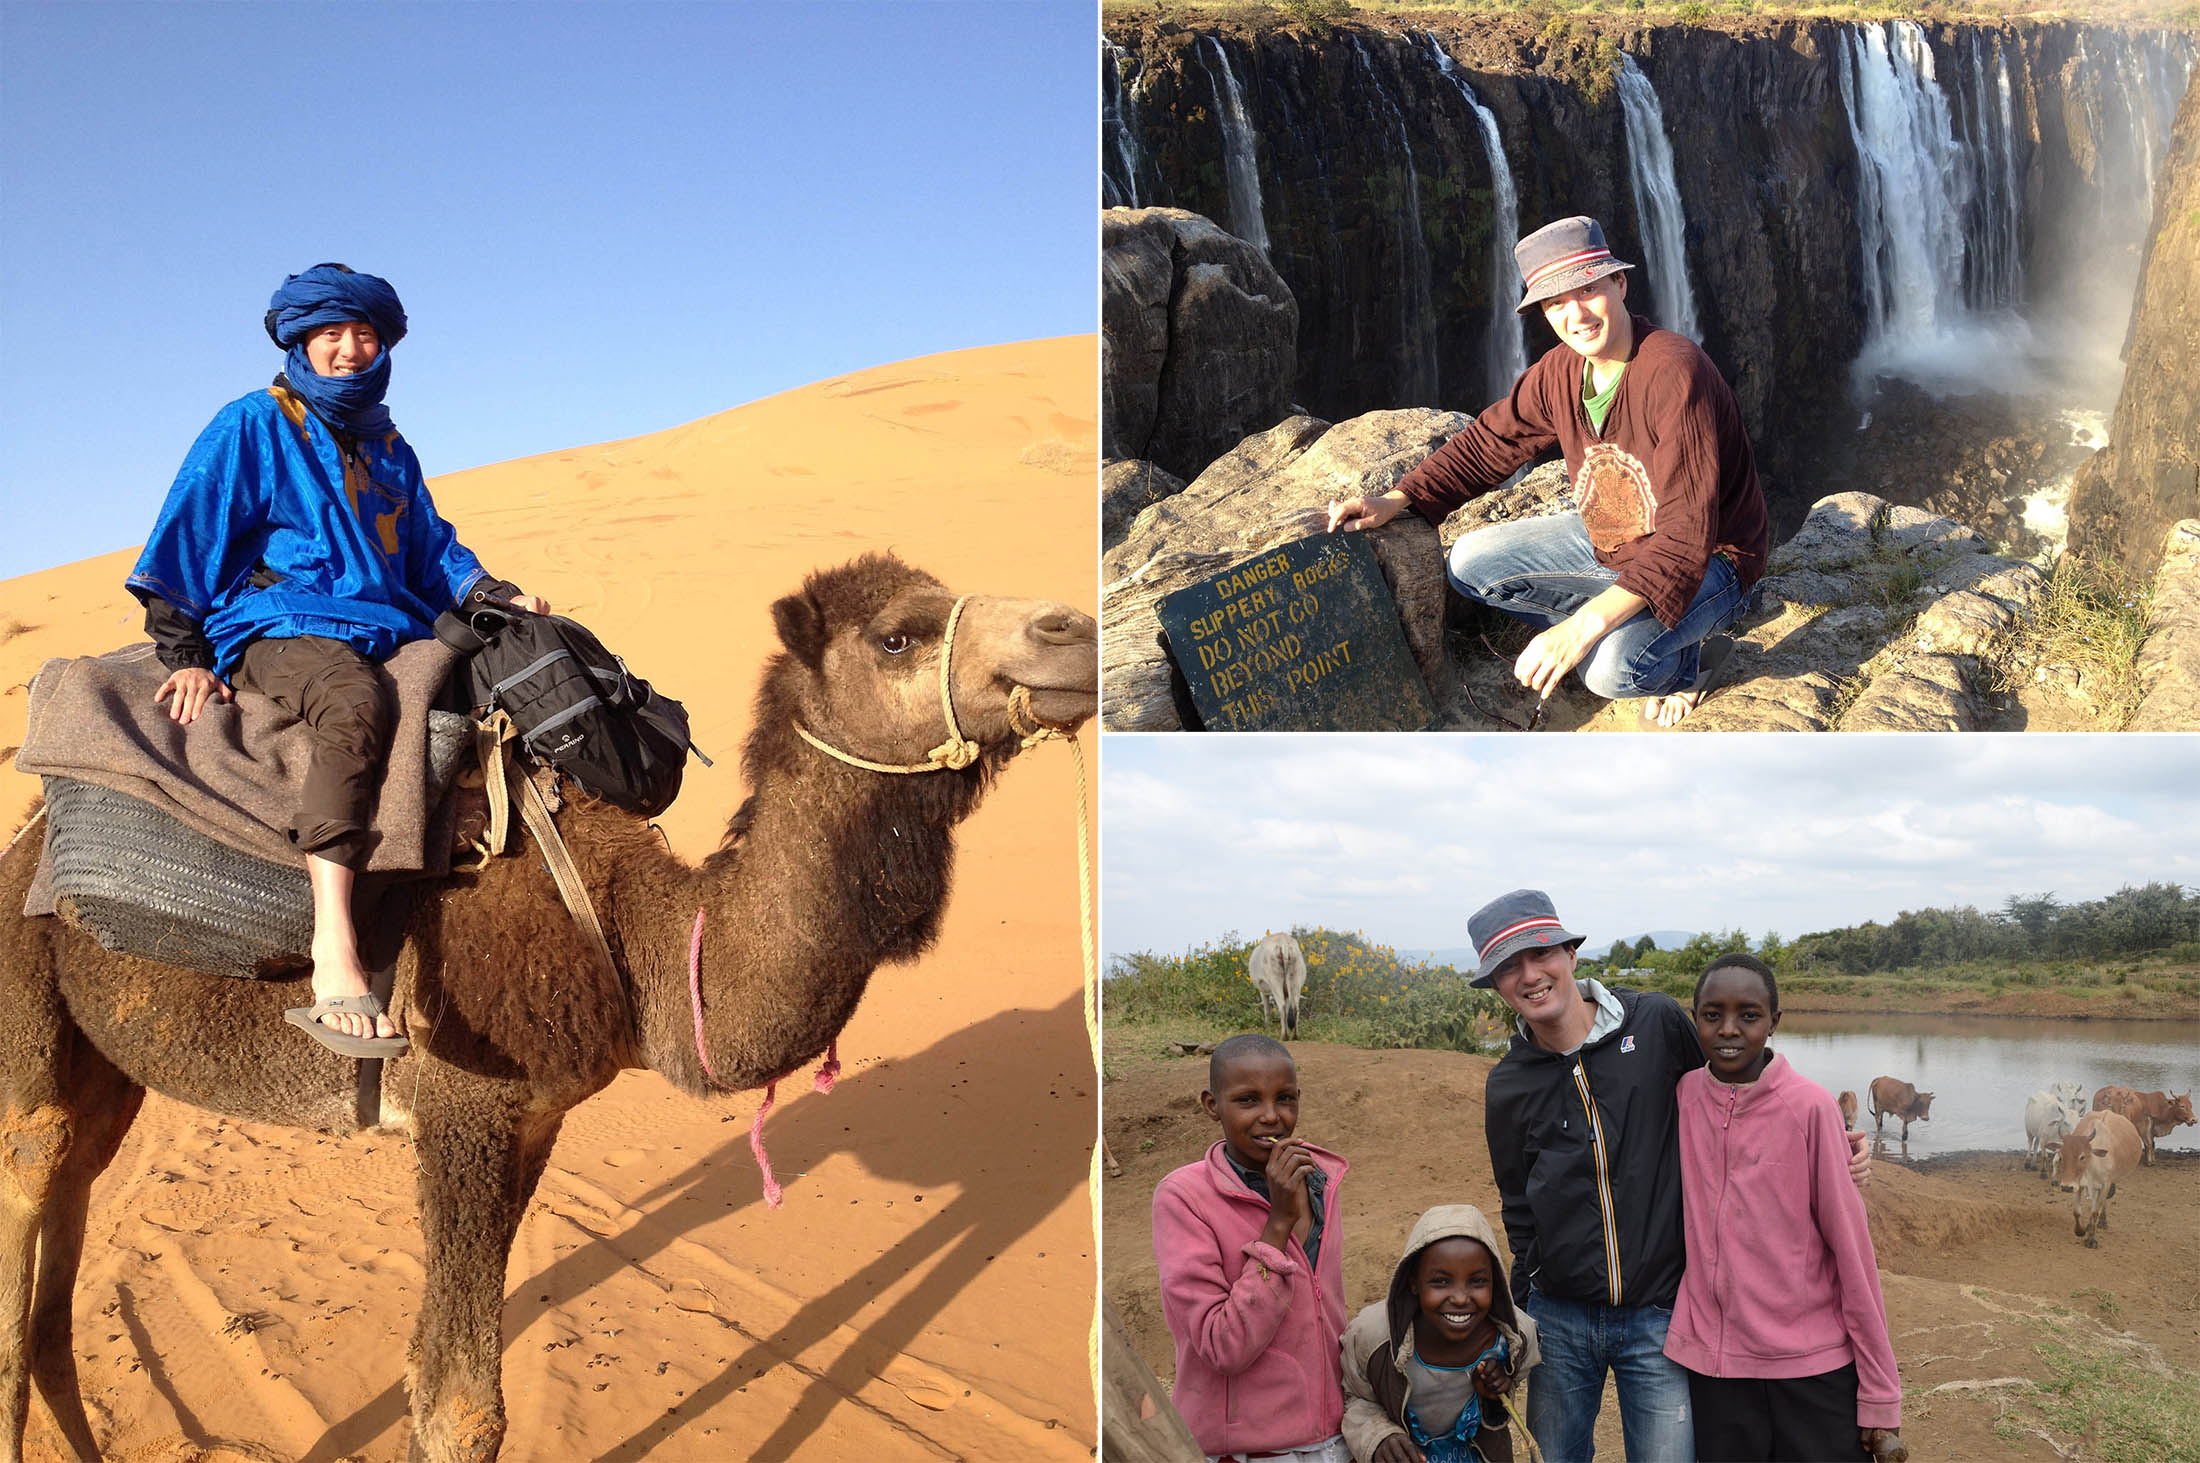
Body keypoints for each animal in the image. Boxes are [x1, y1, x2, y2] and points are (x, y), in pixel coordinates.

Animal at [0, 556, 1100, 1460]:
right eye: (898, 636)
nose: (1072, 629)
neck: (634, 931)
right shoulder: (463, 1107)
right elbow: (460, 1405)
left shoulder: (533, 1121)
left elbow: (429, 1374)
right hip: (25, 1014)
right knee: (29, 1201)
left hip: (106, 1071)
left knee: (62, 1259)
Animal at [2050, 1108, 2138, 1240]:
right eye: (2061, 1156)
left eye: (2082, 1156)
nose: (2065, 1187)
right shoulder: (2078, 1185)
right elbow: (2076, 1212)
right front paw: (2080, 1231)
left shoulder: (2106, 1184)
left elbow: (2095, 1212)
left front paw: (2091, 1239)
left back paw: (2102, 1222)